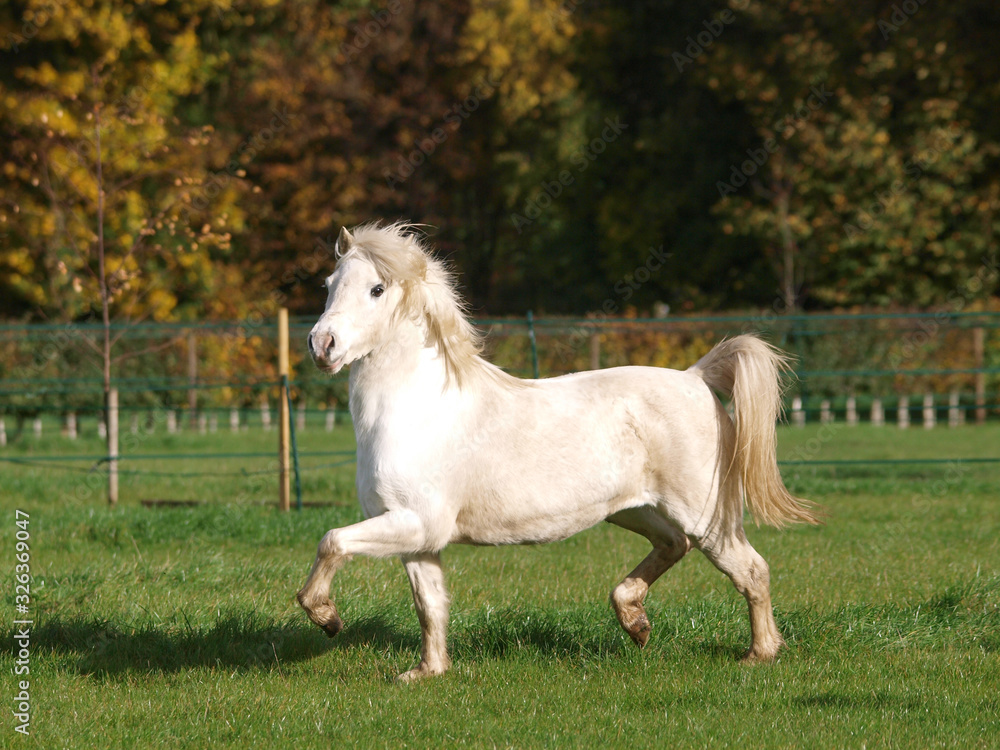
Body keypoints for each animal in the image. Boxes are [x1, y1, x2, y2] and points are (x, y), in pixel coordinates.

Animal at [297, 222, 820, 682]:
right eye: (329, 284)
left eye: (377, 289)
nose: (322, 345)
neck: (418, 409)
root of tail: (696, 378)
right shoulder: (417, 536)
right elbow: (431, 605)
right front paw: (427, 672)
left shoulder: (416, 522)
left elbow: (332, 541)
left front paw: (327, 618)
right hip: (633, 509)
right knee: (674, 544)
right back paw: (635, 621)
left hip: (703, 513)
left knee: (750, 569)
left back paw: (759, 654)